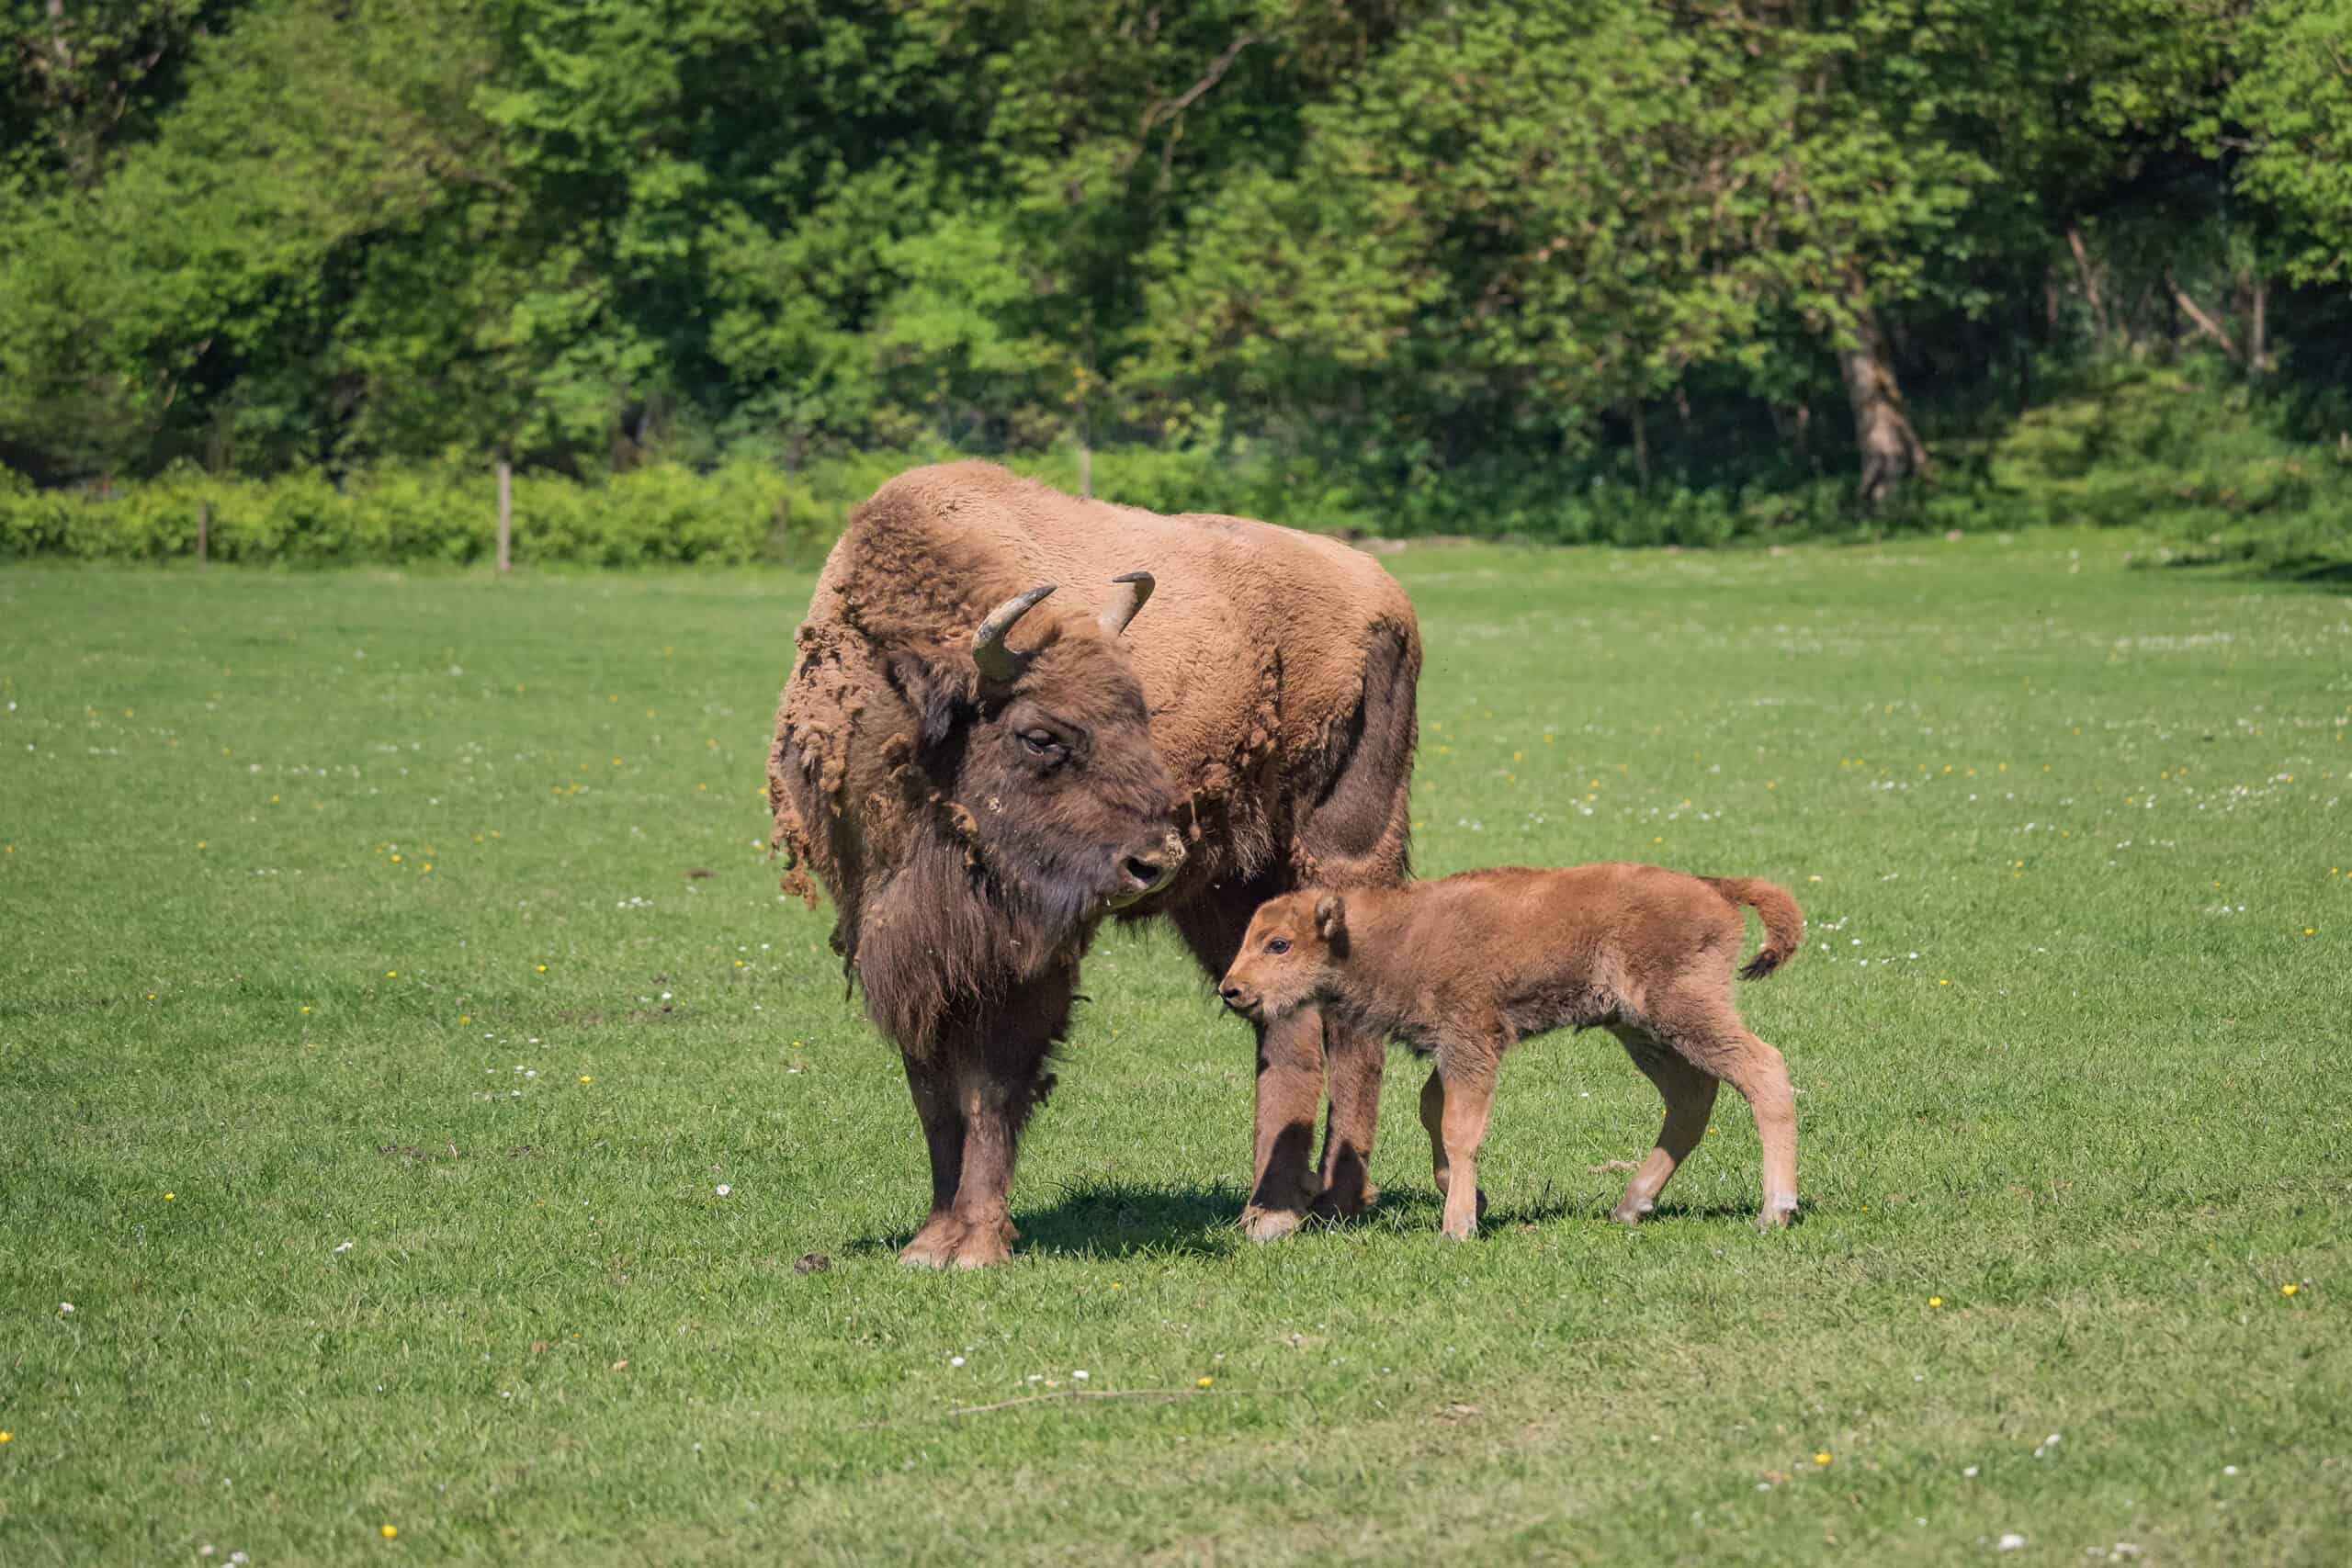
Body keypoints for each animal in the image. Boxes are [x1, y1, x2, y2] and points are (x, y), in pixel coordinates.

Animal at [771, 460, 1411, 1269]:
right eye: (1041, 735)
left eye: (1138, 712)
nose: (1156, 858)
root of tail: (1382, 590)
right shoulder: (899, 939)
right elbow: (934, 1093)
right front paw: (930, 1241)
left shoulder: (1027, 957)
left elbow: (993, 1084)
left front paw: (977, 1243)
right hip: (1228, 893)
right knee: (1285, 1021)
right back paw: (1273, 1209)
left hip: (1345, 854)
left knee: (1351, 1023)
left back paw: (1327, 1202)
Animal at [1223, 860, 1806, 1241]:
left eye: (1279, 944)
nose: (1232, 989)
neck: (1382, 936)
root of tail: (1714, 888)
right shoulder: (1450, 1053)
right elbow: (1432, 1112)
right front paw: (1468, 1199)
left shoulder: (1472, 1043)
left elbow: (1459, 1129)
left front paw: (1457, 1226)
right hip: (1641, 1030)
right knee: (1691, 1096)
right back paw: (1631, 1206)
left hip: (1682, 1010)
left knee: (1763, 1068)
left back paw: (1774, 1212)